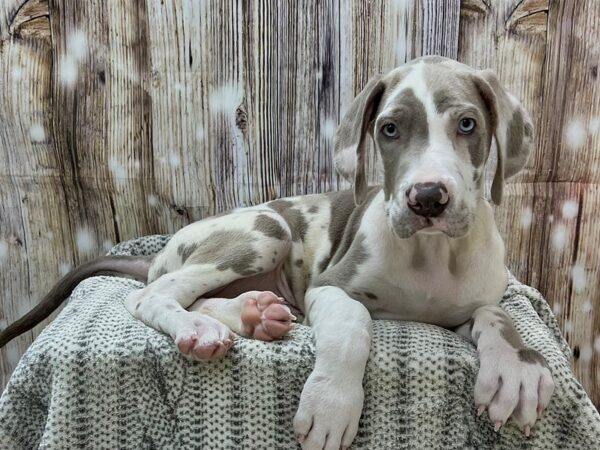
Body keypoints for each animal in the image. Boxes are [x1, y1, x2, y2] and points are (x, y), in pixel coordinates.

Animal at [1, 55, 552, 450]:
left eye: (468, 124)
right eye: (389, 129)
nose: (428, 198)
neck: (433, 255)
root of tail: (157, 252)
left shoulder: (469, 305)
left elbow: (498, 315)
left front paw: (517, 371)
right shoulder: (331, 288)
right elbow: (353, 328)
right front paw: (331, 407)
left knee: (201, 294)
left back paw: (253, 314)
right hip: (267, 231)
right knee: (152, 295)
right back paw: (202, 327)